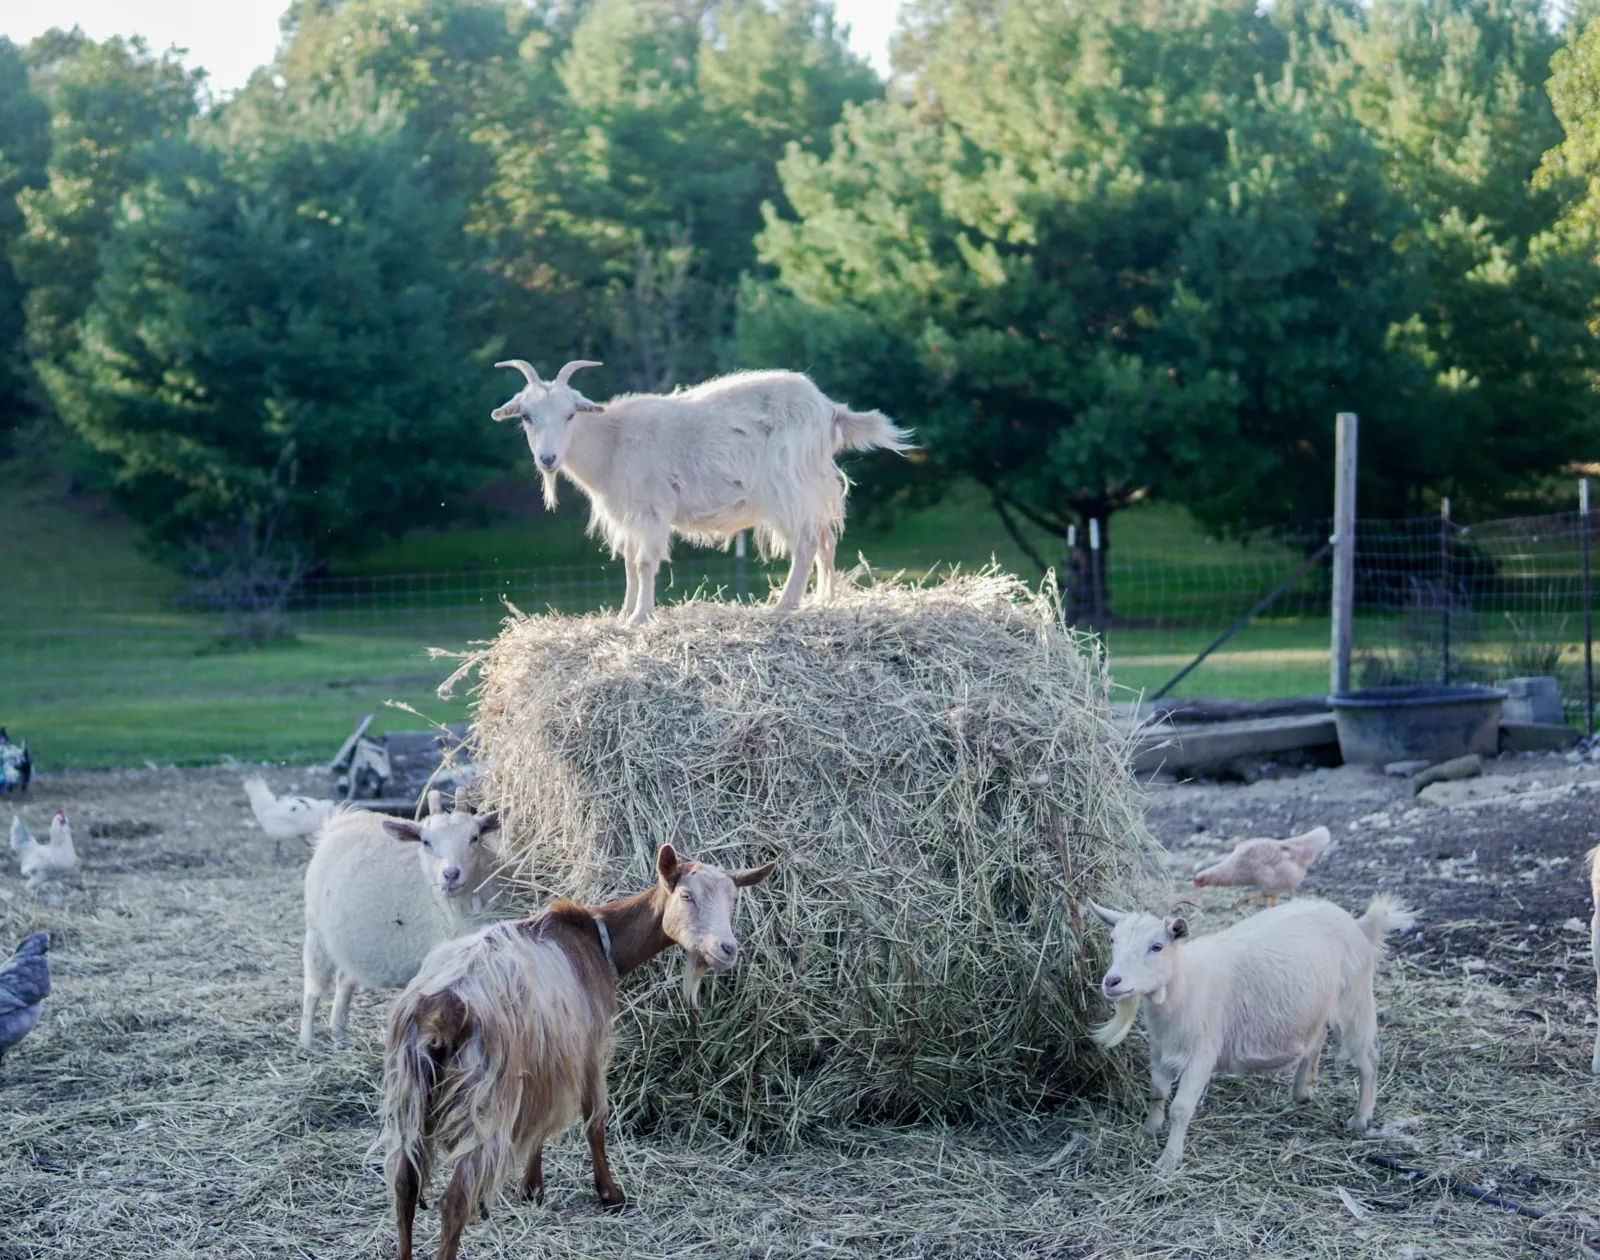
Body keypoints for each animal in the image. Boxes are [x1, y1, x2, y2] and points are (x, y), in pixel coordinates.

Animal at [300, 794, 501, 1052]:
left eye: (474, 837)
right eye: (426, 842)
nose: (451, 875)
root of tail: (340, 822)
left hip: (352, 943)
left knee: (345, 981)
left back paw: (339, 1034)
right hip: (317, 932)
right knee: (313, 988)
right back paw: (306, 1042)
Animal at [379, 843, 775, 1260]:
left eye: (734, 900)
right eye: (686, 896)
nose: (727, 949)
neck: (597, 940)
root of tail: (439, 1013)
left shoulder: (547, 1057)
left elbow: (541, 1122)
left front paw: (532, 1188)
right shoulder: (588, 1046)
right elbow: (594, 1121)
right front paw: (610, 1193)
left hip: (408, 1090)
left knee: (404, 1187)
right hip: (483, 1101)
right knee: (456, 1200)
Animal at [490, 360, 912, 624]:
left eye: (570, 415)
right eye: (526, 417)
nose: (547, 459)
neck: (613, 441)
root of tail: (829, 410)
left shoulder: (652, 509)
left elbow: (644, 564)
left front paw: (640, 617)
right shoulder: (627, 515)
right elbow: (628, 565)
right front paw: (623, 614)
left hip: (788, 483)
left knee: (807, 543)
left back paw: (783, 606)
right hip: (810, 486)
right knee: (826, 540)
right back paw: (825, 601)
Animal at [1083, 894, 1414, 1172]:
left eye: (1157, 946)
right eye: (1112, 939)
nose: (1112, 981)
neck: (1185, 985)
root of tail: (1359, 925)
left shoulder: (1203, 1053)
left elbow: (1180, 1108)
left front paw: (1168, 1161)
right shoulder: (1159, 1049)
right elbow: (1157, 1092)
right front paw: (1150, 1128)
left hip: (1354, 1003)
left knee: (1368, 1060)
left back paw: (1360, 1118)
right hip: (1317, 1007)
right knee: (1317, 1040)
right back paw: (1302, 1092)